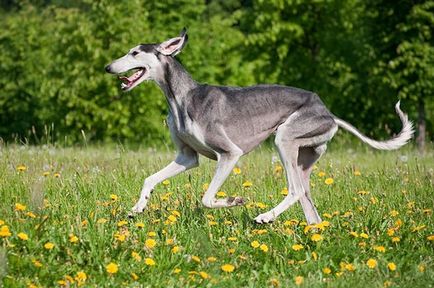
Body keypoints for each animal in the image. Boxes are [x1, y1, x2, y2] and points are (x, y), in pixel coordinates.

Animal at [106, 28, 414, 224]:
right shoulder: (187, 157)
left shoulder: (229, 154)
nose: (108, 68)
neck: (182, 97)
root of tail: (328, 112)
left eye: (135, 53)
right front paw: (137, 207)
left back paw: (265, 217)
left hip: (285, 139)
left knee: (295, 190)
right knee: (309, 204)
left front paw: (234, 201)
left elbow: (207, 197)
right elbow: (150, 179)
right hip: (303, 158)